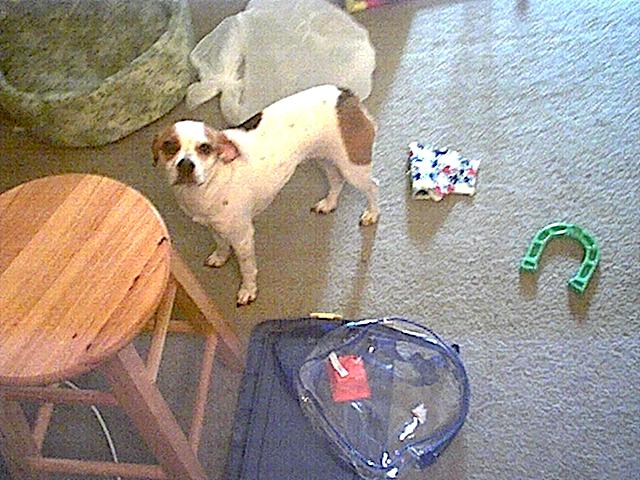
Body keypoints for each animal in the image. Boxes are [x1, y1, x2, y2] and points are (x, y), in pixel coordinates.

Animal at [152, 85, 379, 306]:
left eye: (205, 148)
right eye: (169, 146)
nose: (185, 164)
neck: (208, 185)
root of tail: (345, 93)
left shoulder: (243, 238)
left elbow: (247, 269)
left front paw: (248, 291)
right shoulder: (213, 227)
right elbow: (221, 244)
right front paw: (220, 257)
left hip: (353, 168)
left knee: (373, 187)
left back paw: (371, 214)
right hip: (325, 159)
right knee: (336, 181)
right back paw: (329, 203)